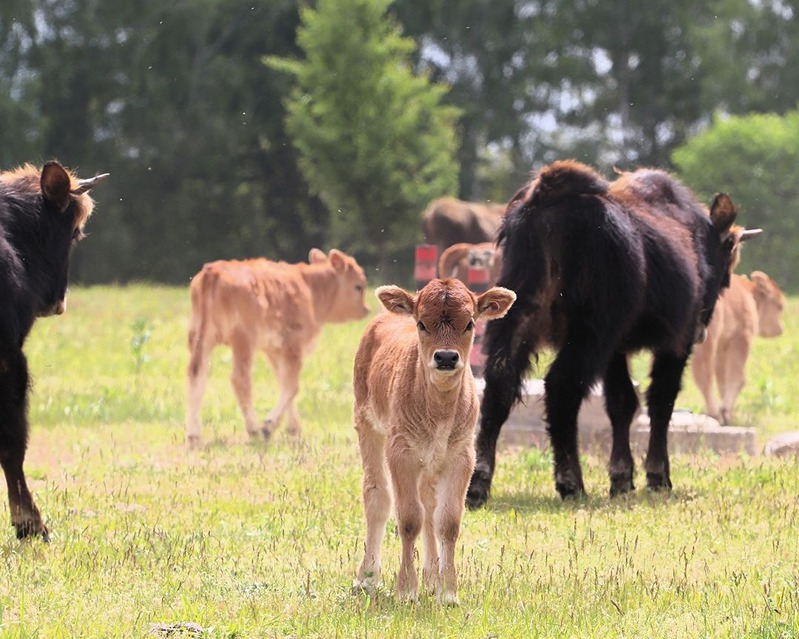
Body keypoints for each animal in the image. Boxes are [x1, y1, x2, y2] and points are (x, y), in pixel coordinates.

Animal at [188, 248, 372, 448]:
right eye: (358, 286)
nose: (366, 309)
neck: (310, 288)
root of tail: (213, 272)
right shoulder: (293, 347)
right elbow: (292, 386)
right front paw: (268, 427)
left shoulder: (276, 351)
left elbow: (284, 381)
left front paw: (293, 428)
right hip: (243, 341)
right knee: (240, 379)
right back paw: (254, 430)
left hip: (201, 340)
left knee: (196, 375)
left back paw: (193, 435)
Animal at [354, 278, 516, 604]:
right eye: (421, 323)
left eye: (469, 323)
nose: (445, 357)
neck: (438, 409)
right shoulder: (400, 452)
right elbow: (408, 518)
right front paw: (407, 590)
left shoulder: (461, 456)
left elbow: (448, 521)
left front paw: (448, 592)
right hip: (367, 427)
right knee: (377, 496)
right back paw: (367, 577)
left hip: (430, 461)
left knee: (429, 505)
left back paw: (431, 577)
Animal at [468, 158, 764, 508]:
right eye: (728, 252)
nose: (703, 329)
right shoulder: (675, 343)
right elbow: (660, 401)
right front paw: (657, 476)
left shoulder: (616, 349)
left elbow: (622, 403)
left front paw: (622, 477)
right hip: (590, 330)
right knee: (561, 388)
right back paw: (571, 481)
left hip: (516, 317)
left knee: (500, 384)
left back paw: (478, 483)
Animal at [692, 272, 788, 424]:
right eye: (779, 306)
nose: (780, 328)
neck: (749, 294)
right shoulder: (741, 339)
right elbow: (738, 377)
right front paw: (725, 412)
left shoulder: (723, 347)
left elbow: (723, 380)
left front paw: (729, 414)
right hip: (706, 341)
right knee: (704, 373)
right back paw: (714, 413)